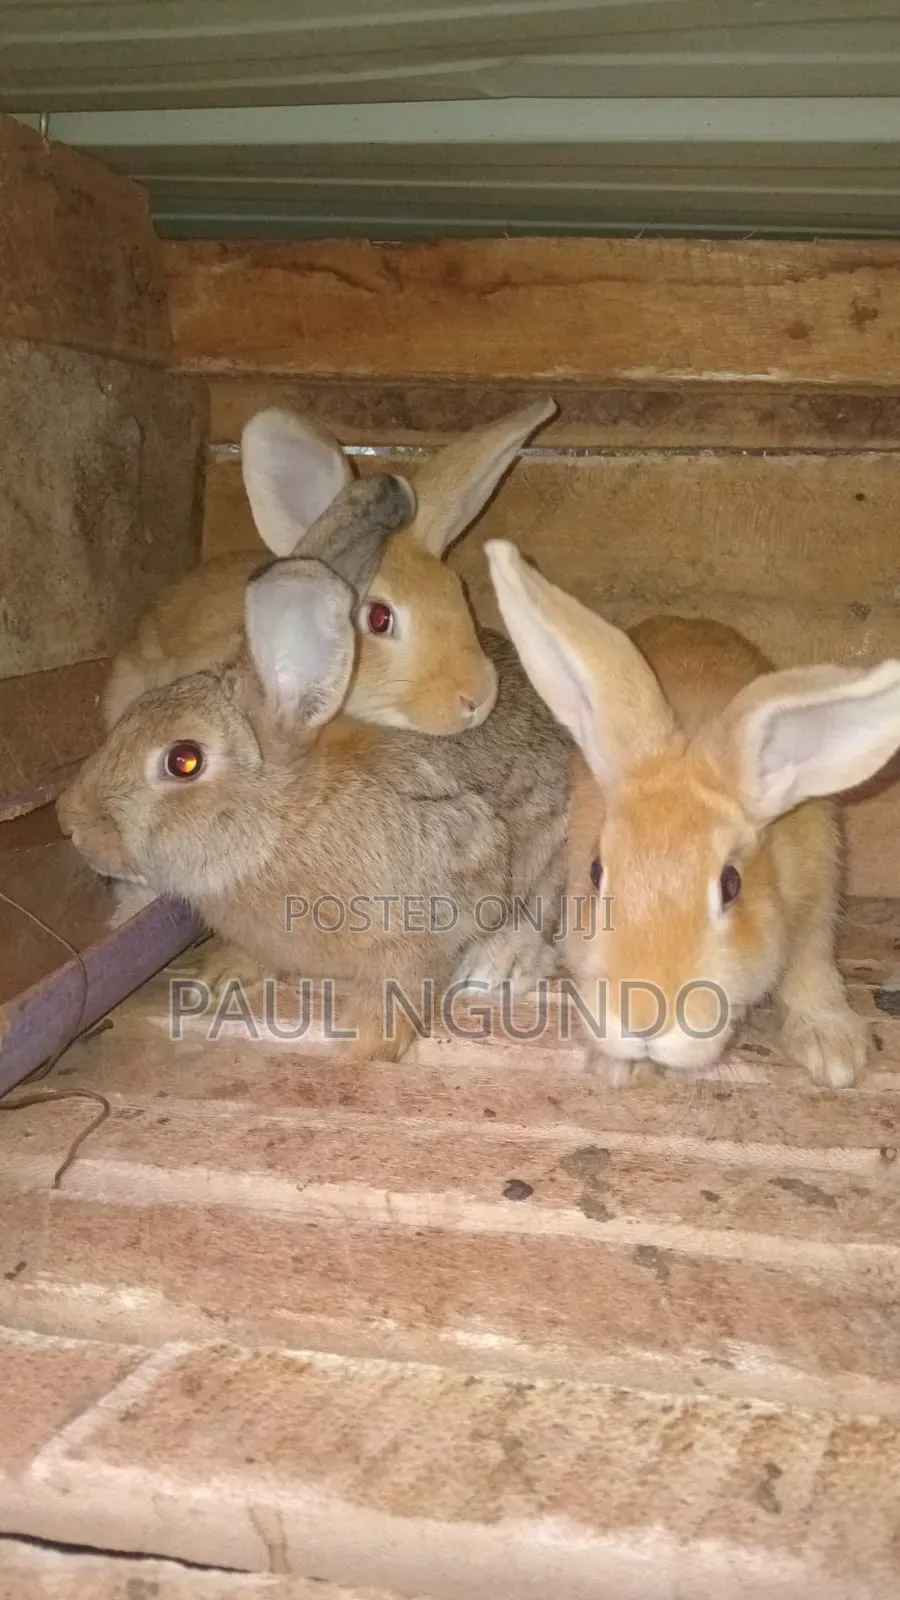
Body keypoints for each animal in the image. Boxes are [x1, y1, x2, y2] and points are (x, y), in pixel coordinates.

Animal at [58, 479, 572, 1064]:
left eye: (183, 760)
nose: (69, 823)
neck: (283, 824)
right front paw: (223, 976)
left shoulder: (432, 912)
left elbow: (405, 980)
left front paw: (367, 1046)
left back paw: (498, 964)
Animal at [486, 538, 900, 1090]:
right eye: (596, 874)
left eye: (731, 884)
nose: (643, 1019)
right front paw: (619, 1067)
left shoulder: (816, 895)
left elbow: (809, 965)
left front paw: (834, 1054)